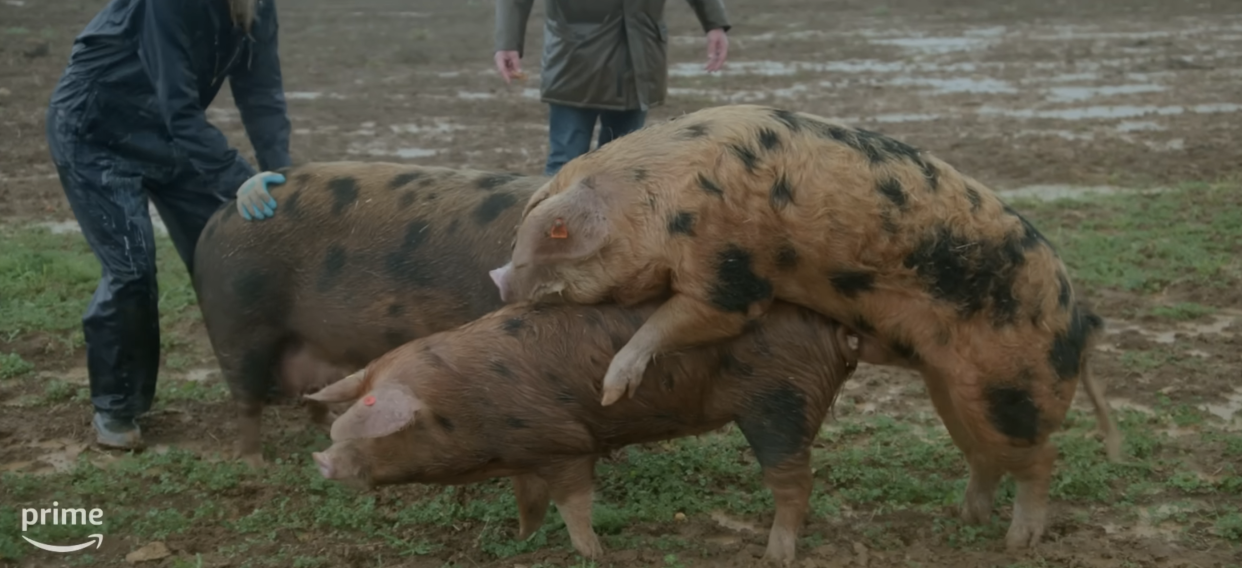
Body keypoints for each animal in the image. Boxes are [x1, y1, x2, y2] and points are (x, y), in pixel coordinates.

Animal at [191, 161, 546, 462]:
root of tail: (220, 214)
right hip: (235, 322)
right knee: (246, 400)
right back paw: (256, 464)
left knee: (311, 393)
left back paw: (329, 425)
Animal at [305, 298, 864, 559]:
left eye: (384, 429)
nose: (321, 459)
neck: (469, 401)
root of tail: (837, 329)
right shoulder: (526, 453)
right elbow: (528, 501)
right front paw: (521, 540)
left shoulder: (565, 445)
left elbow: (574, 503)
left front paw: (593, 554)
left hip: (780, 404)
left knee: (795, 483)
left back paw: (775, 556)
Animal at [486, 103, 1127, 549]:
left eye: (546, 242)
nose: (497, 281)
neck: (657, 200)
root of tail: (1081, 321)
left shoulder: (732, 270)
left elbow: (685, 318)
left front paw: (613, 389)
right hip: (951, 388)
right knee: (985, 455)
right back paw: (964, 516)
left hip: (1012, 387)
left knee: (1042, 458)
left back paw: (1018, 542)